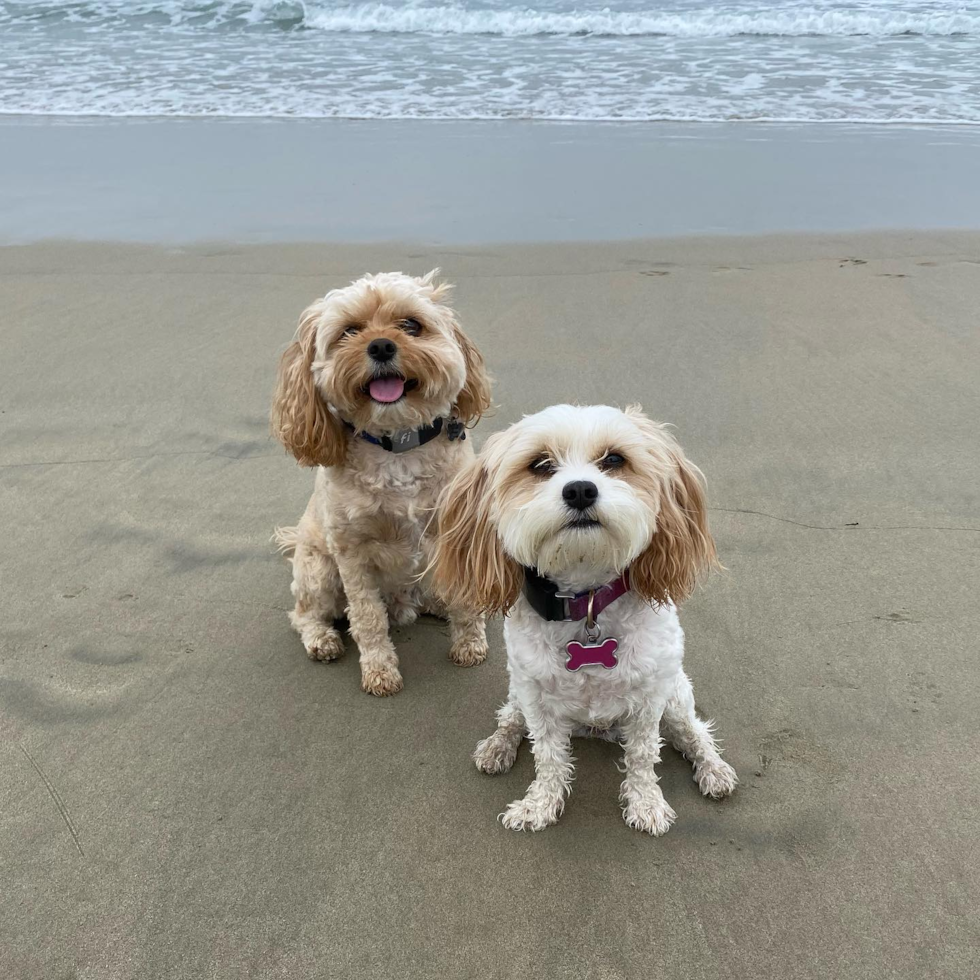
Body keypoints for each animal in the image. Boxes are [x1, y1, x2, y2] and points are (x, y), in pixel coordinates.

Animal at [272, 270, 490, 696]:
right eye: (349, 331)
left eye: (411, 325)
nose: (381, 345)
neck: (398, 446)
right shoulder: (352, 553)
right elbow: (367, 617)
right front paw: (379, 669)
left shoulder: (455, 528)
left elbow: (466, 599)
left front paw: (470, 642)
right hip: (318, 571)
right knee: (304, 613)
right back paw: (321, 638)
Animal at [432, 406, 740, 836]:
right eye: (540, 465)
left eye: (614, 459)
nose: (580, 490)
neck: (587, 602)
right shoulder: (537, 700)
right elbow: (548, 757)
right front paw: (539, 806)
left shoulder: (649, 701)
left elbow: (643, 755)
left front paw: (646, 803)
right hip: (519, 690)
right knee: (511, 717)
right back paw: (498, 745)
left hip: (676, 696)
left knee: (693, 732)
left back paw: (713, 768)